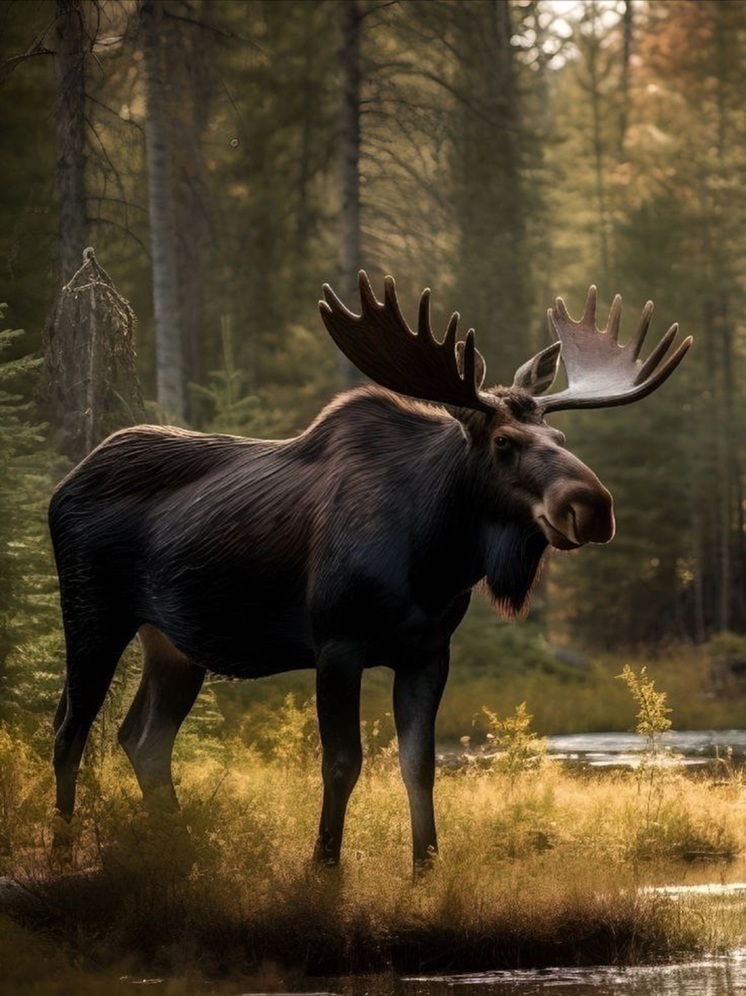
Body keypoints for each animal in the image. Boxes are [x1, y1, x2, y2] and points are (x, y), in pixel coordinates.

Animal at [50, 272, 692, 872]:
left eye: (559, 435)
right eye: (506, 442)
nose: (593, 507)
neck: (433, 558)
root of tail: (62, 488)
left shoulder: (428, 651)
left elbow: (419, 765)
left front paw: (426, 866)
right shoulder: (337, 642)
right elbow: (341, 763)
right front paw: (325, 865)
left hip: (173, 642)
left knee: (143, 738)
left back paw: (180, 852)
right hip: (92, 615)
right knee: (68, 730)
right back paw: (62, 851)